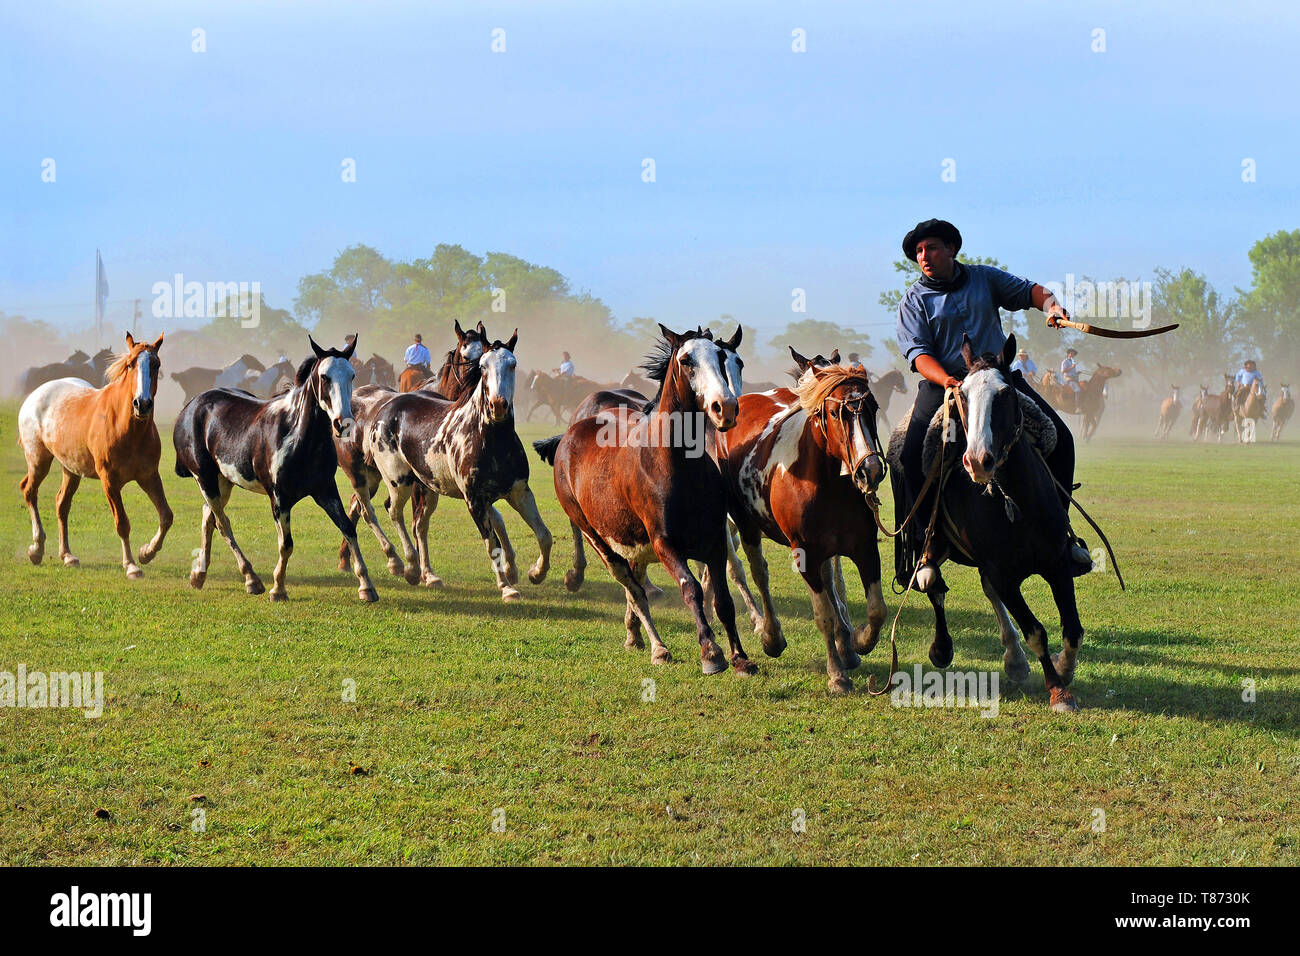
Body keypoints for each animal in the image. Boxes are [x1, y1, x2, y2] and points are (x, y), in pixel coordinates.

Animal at [18, 332, 171, 580]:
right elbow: (122, 523)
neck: (126, 427)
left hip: (70, 470)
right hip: (39, 460)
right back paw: (37, 549)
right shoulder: (109, 481)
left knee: (62, 504)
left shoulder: (149, 476)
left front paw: (146, 552)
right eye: (131, 364)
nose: (142, 404)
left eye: (156, 365)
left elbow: (166, 516)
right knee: (29, 491)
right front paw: (131, 566)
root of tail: (35, 394)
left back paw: (67, 556)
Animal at [170, 335, 379, 600]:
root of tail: (191, 406)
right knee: (223, 524)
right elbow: (286, 544)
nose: (343, 424)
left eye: (351, 375)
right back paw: (251, 579)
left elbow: (348, 528)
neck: (298, 437)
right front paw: (278, 588)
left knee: (209, 518)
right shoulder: (279, 499)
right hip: (204, 479)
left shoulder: (326, 491)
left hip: (223, 481)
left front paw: (367, 586)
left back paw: (199, 574)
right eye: (324, 376)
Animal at [527, 325, 754, 676]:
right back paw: (657, 647)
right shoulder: (664, 543)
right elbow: (690, 588)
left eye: (723, 356)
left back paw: (634, 632)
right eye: (686, 360)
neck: (675, 464)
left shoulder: (715, 539)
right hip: (596, 535)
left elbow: (724, 599)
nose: (725, 407)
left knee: (636, 579)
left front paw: (741, 657)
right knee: (631, 585)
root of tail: (569, 433)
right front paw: (711, 653)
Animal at [717, 348, 889, 691]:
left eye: (873, 407)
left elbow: (875, 608)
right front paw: (837, 674)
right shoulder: (806, 554)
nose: (871, 470)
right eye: (835, 413)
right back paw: (771, 635)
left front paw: (858, 641)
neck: (826, 481)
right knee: (758, 573)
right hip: (746, 524)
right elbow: (823, 613)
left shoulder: (863, 548)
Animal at [883, 332, 1086, 712]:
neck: (1015, 499)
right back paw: (943, 646)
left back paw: (1015, 660)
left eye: (1004, 393)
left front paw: (1065, 670)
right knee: (934, 585)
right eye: (962, 394)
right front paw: (1058, 690)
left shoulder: (1056, 562)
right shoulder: (1002, 573)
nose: (978, 460)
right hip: (933, 546)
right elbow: (1036, 631)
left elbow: (1072, 628)